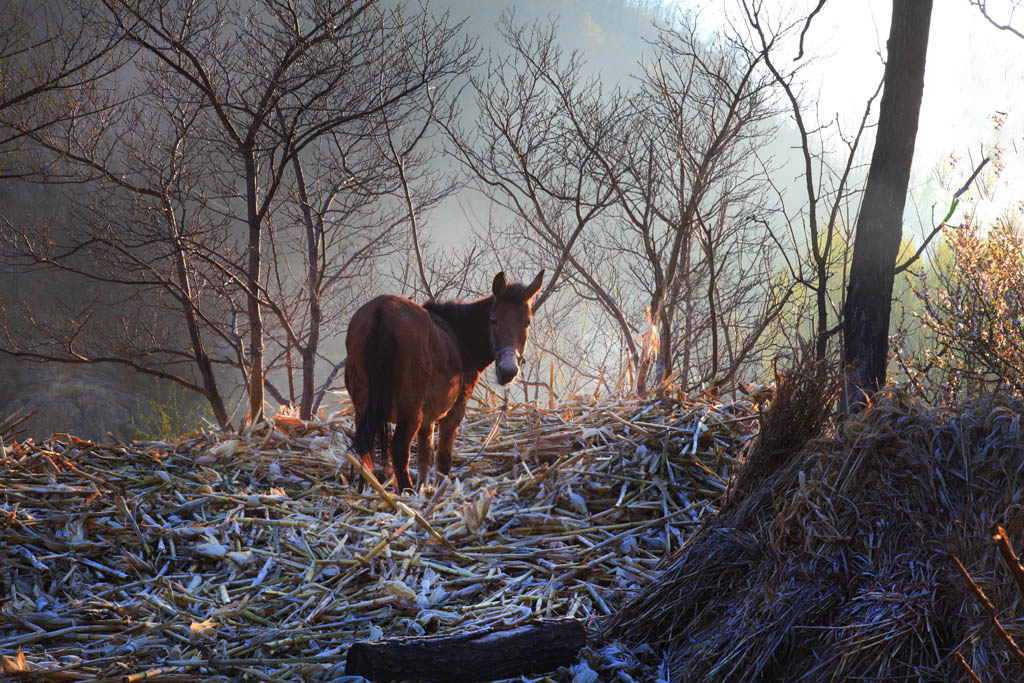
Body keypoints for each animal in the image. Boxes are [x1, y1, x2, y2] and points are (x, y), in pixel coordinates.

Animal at [346, 270, 544, 491]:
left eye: (526, 322)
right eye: (493, 321)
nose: (508, 371)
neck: (458, 337)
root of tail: (380, 314)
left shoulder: (428, 417)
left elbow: (425, 457)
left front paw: (423, 489)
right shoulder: (454, 410)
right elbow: (442, 459)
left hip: (363, 407)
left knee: (365, 452)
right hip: (410, 413)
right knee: (398, 450)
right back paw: (405, 493)